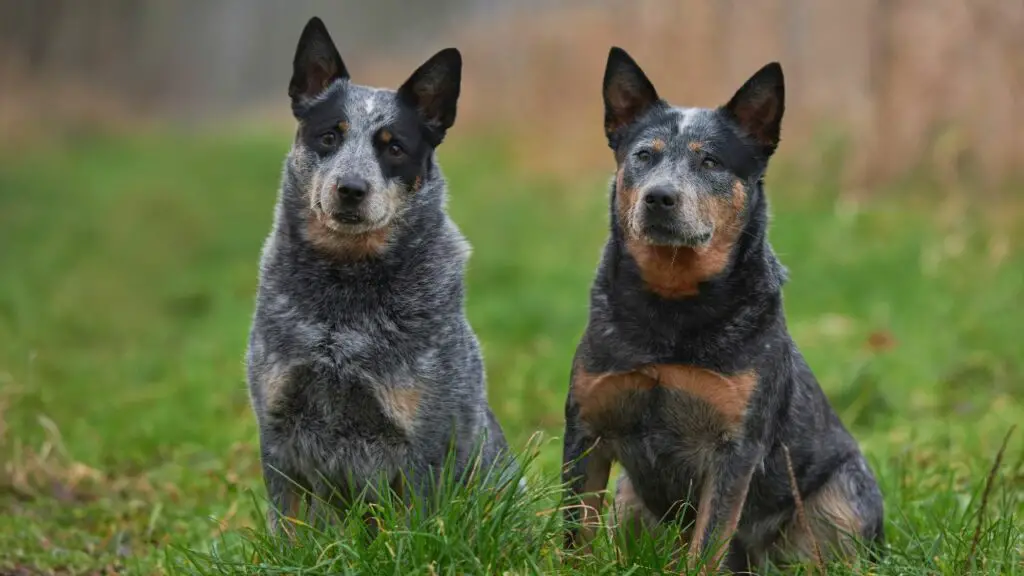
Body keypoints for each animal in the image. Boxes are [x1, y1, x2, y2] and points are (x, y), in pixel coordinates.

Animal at [246, 16, 516, 528]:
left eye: (394, 147)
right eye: (330, 135)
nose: (351, 188)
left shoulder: (420, 446)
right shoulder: (278, 433)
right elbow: (287, 528)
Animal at [557, 48, 884, 569]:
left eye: (710, 160)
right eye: (643, 155)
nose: (659, 196)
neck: (671, 308)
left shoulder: (735, 449)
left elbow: (708, 544)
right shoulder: (586, 427)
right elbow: (574, 534)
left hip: (844, 501)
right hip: (628, 500)